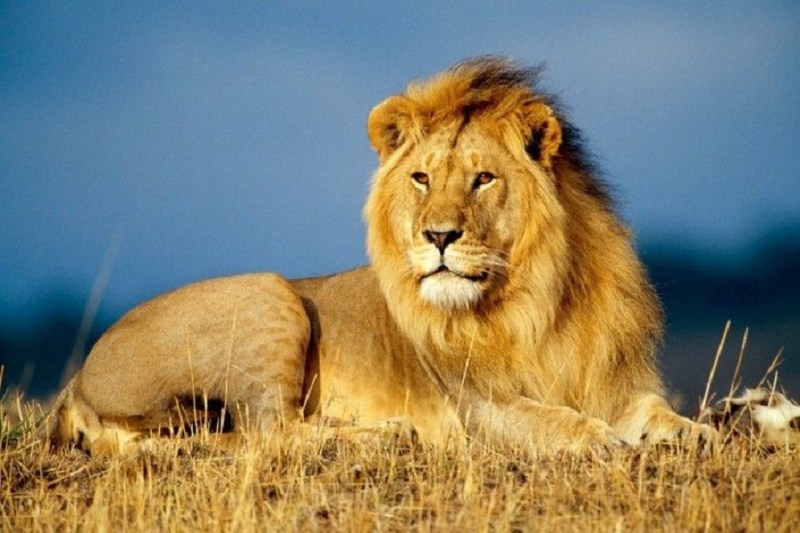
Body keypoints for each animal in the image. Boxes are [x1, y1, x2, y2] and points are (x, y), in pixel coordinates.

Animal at [43, 57, 719, 455]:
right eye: (421, 178)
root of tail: (77, 379)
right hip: (270, 294)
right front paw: (601, 441)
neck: (538, 299)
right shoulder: (476, 407)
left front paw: (698, 433)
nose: (438, 236)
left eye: (483, 179)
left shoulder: (615, 380)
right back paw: (387, 434)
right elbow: (551, 421)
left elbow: (655, 410)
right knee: (269, 434)